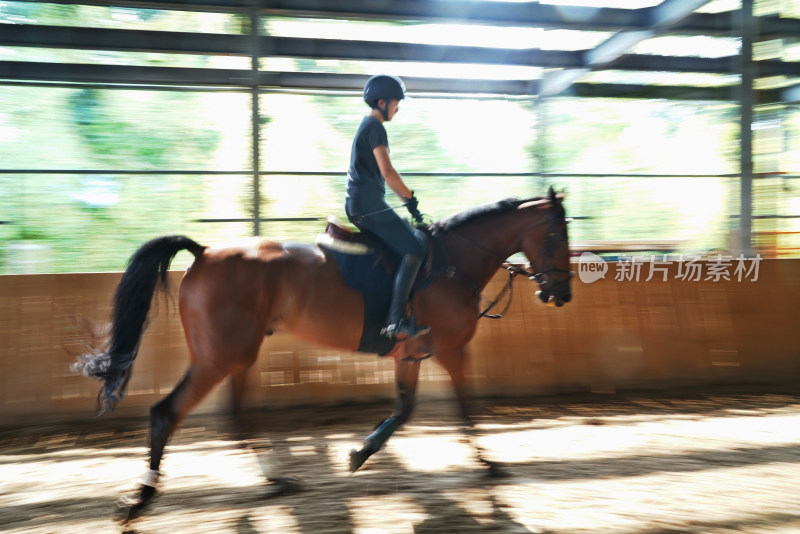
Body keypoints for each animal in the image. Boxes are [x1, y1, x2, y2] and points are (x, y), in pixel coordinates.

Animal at [75, 186, 572, 520]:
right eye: (557, 235)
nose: (561, 294)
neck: (452, 262)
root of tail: (204, 252)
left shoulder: (409, 354)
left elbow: (405, 409)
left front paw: (360, 452)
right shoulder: (450, 350)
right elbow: (465, 408)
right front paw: (489, 465)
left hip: (237, 355)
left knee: (235, 415)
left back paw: (277, 478)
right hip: (218, 357)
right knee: (167, 412)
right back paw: (142, 497)